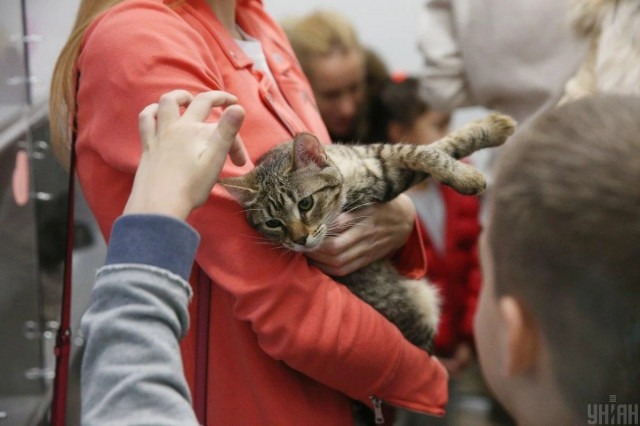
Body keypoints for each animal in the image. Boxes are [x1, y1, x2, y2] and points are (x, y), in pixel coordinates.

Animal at [221, 113, 516, 352]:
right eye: (273, 223)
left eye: (305, 203)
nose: (299, 240)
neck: (344, 171)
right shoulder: (386, 180)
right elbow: (435, 150)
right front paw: (468, 174)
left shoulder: (374, 152)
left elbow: (420, 149)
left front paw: (490, 127)